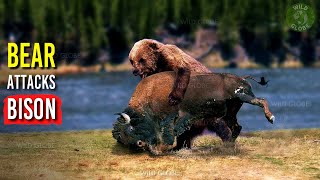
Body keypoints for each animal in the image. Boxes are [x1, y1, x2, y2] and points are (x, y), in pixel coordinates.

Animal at [112, 71, 272, 155]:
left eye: (130, 128)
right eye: (120, 137)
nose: (139, 144)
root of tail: (242, 78)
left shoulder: (172, 120)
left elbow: (173, 136)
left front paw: (165, 149)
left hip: (244, 99)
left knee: (261, 100)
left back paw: (271, 118)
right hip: (230, 114)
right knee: (237, 127)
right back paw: (227, 147)